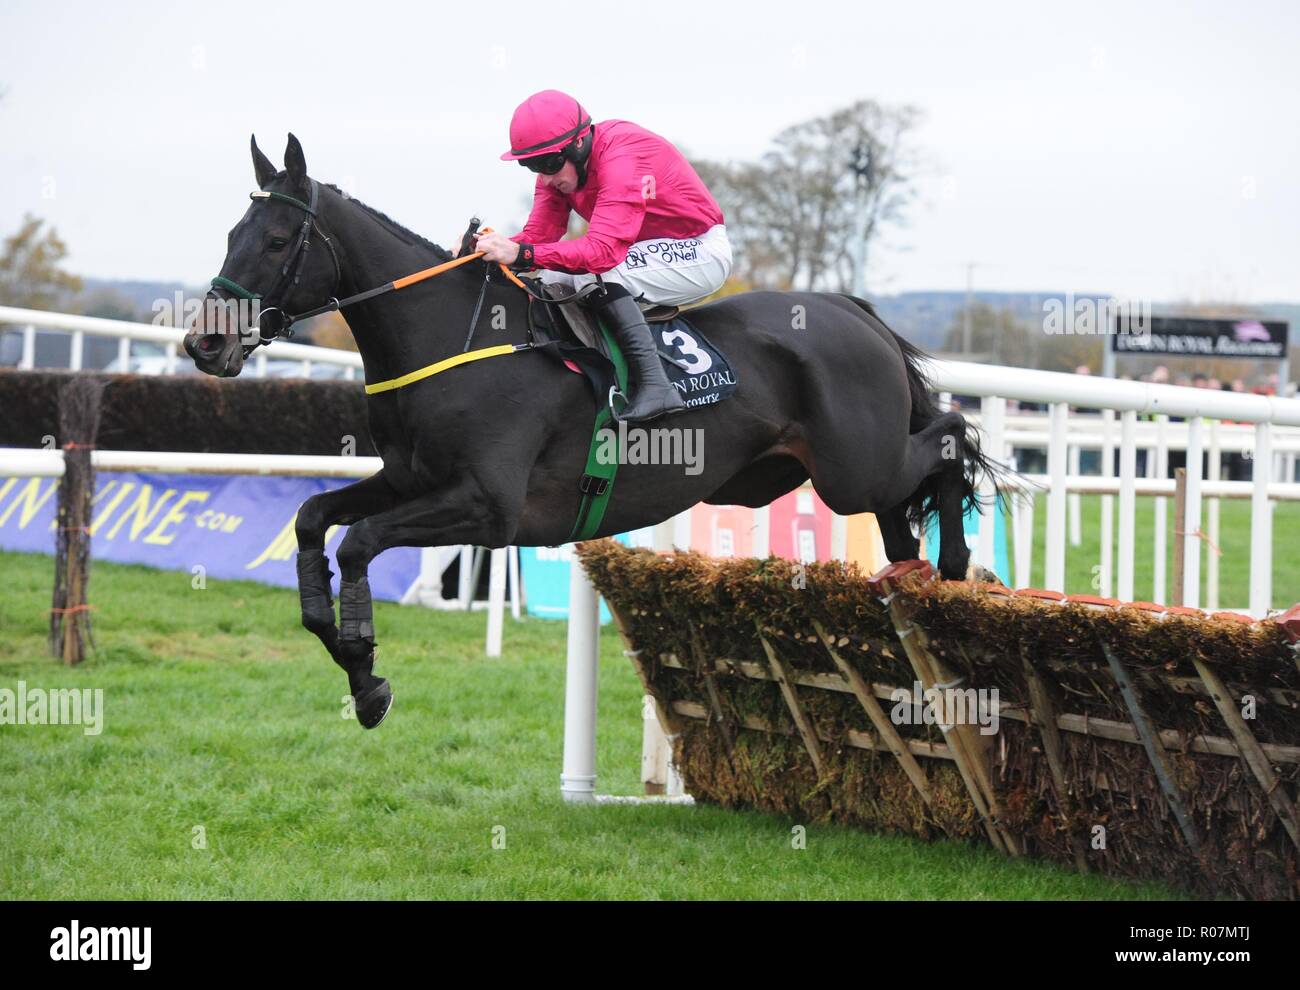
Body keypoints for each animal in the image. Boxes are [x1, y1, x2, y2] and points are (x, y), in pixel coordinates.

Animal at [185, 133, 1003, 727]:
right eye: (231, 231)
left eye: (278, 239)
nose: (204, 344)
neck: (454, 336)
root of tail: (853, 308)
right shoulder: (411, 479)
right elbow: (311, 517)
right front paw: (348, 656)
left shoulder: (488, 508)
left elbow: (356, 543)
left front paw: (364, 665)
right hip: (819, 473)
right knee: (904, 500)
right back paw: (910, 577)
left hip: (851, 466)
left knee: (950, 436)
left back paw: (955, 565)